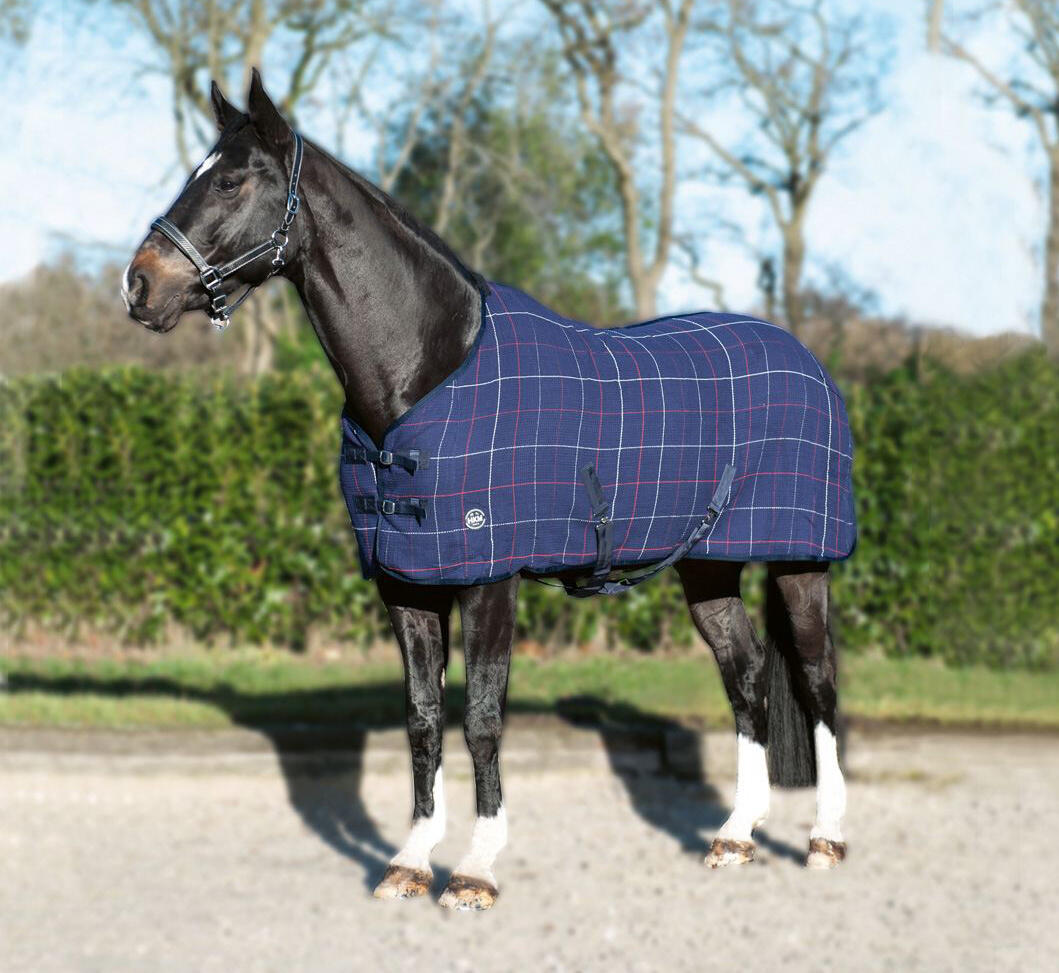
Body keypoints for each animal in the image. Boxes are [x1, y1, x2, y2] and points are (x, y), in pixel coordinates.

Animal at [123, 72, 852, 911]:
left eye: (231, 180)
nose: (138, 285)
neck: (426, 370)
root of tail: (805, 358)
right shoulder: (407, 583)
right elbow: (422, 719)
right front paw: (409, 860)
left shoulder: (488, 580)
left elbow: (480, 718)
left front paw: (475, 869)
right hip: (707, 566)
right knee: (747, 675)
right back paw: (734, 835)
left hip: (801, 563)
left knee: (817, 680)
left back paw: (825, 838)